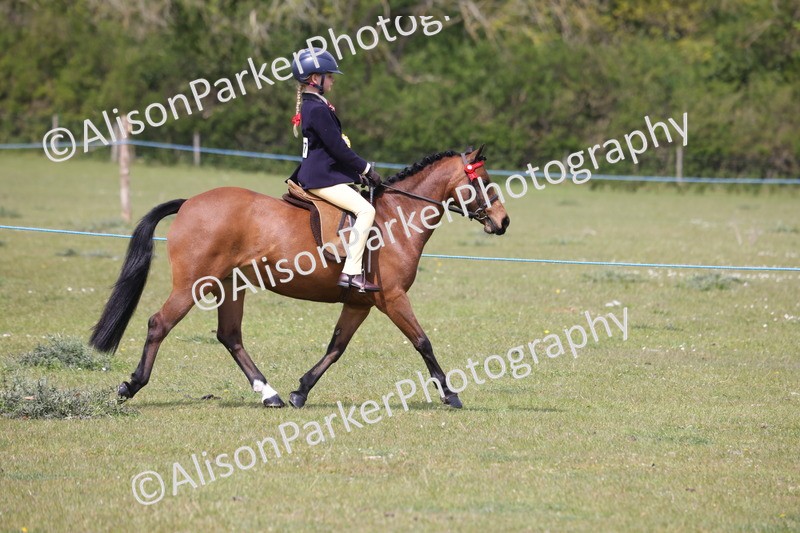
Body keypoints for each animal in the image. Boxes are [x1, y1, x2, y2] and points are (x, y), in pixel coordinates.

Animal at [89, 146, 510, 409]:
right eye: (483, 180)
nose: (503, 222)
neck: (397, 219)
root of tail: (190, 202)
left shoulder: (360, 302)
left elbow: (335, 348)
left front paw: (301, 391)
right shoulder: (392, 298)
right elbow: (423, 342)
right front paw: (450, 394)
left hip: (230, 286)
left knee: (230, 336)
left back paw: (270, 394)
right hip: (193, 285)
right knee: (159, 324)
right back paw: (131, 385)